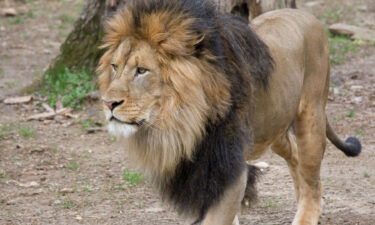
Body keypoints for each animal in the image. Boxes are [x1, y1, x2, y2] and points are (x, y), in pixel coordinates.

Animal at [97, 0, 362, 225]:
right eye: (114, 67)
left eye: (142, 70)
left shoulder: (228, 168)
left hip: (311, 117)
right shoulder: (197, 174)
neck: (180, 123)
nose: (108, 103)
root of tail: (307, 16)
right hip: (273, 128)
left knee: (312, 181)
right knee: (295, 158)